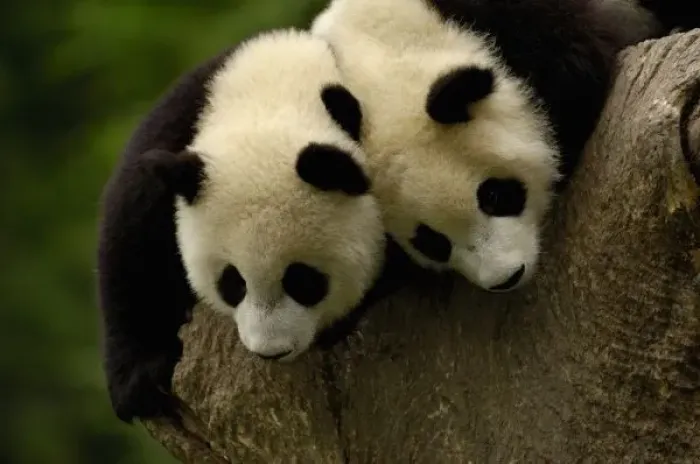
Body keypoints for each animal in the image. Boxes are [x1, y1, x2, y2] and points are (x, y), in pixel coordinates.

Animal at [97, 29, 400, 423]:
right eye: (232, 283)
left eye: (304, 280)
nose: (270, 352)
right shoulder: (179, 122)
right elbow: (131, 243)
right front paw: (141, 381)